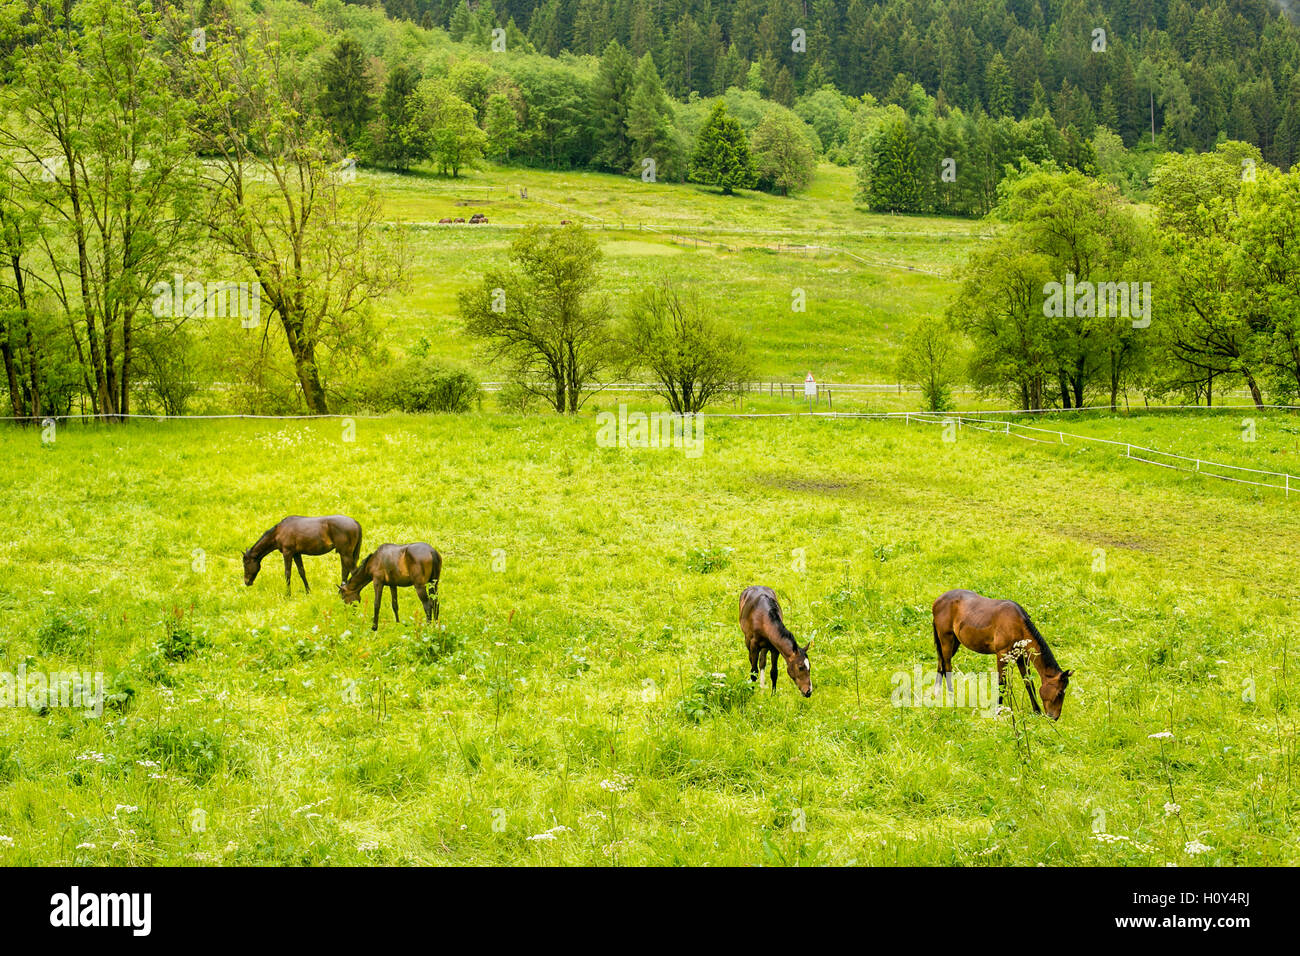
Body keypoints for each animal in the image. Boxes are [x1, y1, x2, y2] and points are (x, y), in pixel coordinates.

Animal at [931, 589, 1072, 719]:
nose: (1055, 717)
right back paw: (952, 698)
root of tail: (937, 601)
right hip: (946, 639)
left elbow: (1028, 682)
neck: (1018, 624)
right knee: (947, 667)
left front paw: (1037, 711)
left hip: (954, 642)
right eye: (1060, 693)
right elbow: (1001, 683)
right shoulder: (1001, 655)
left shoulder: (1021, 657)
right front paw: (998, 712)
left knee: (941, 664)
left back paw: (936, 694)